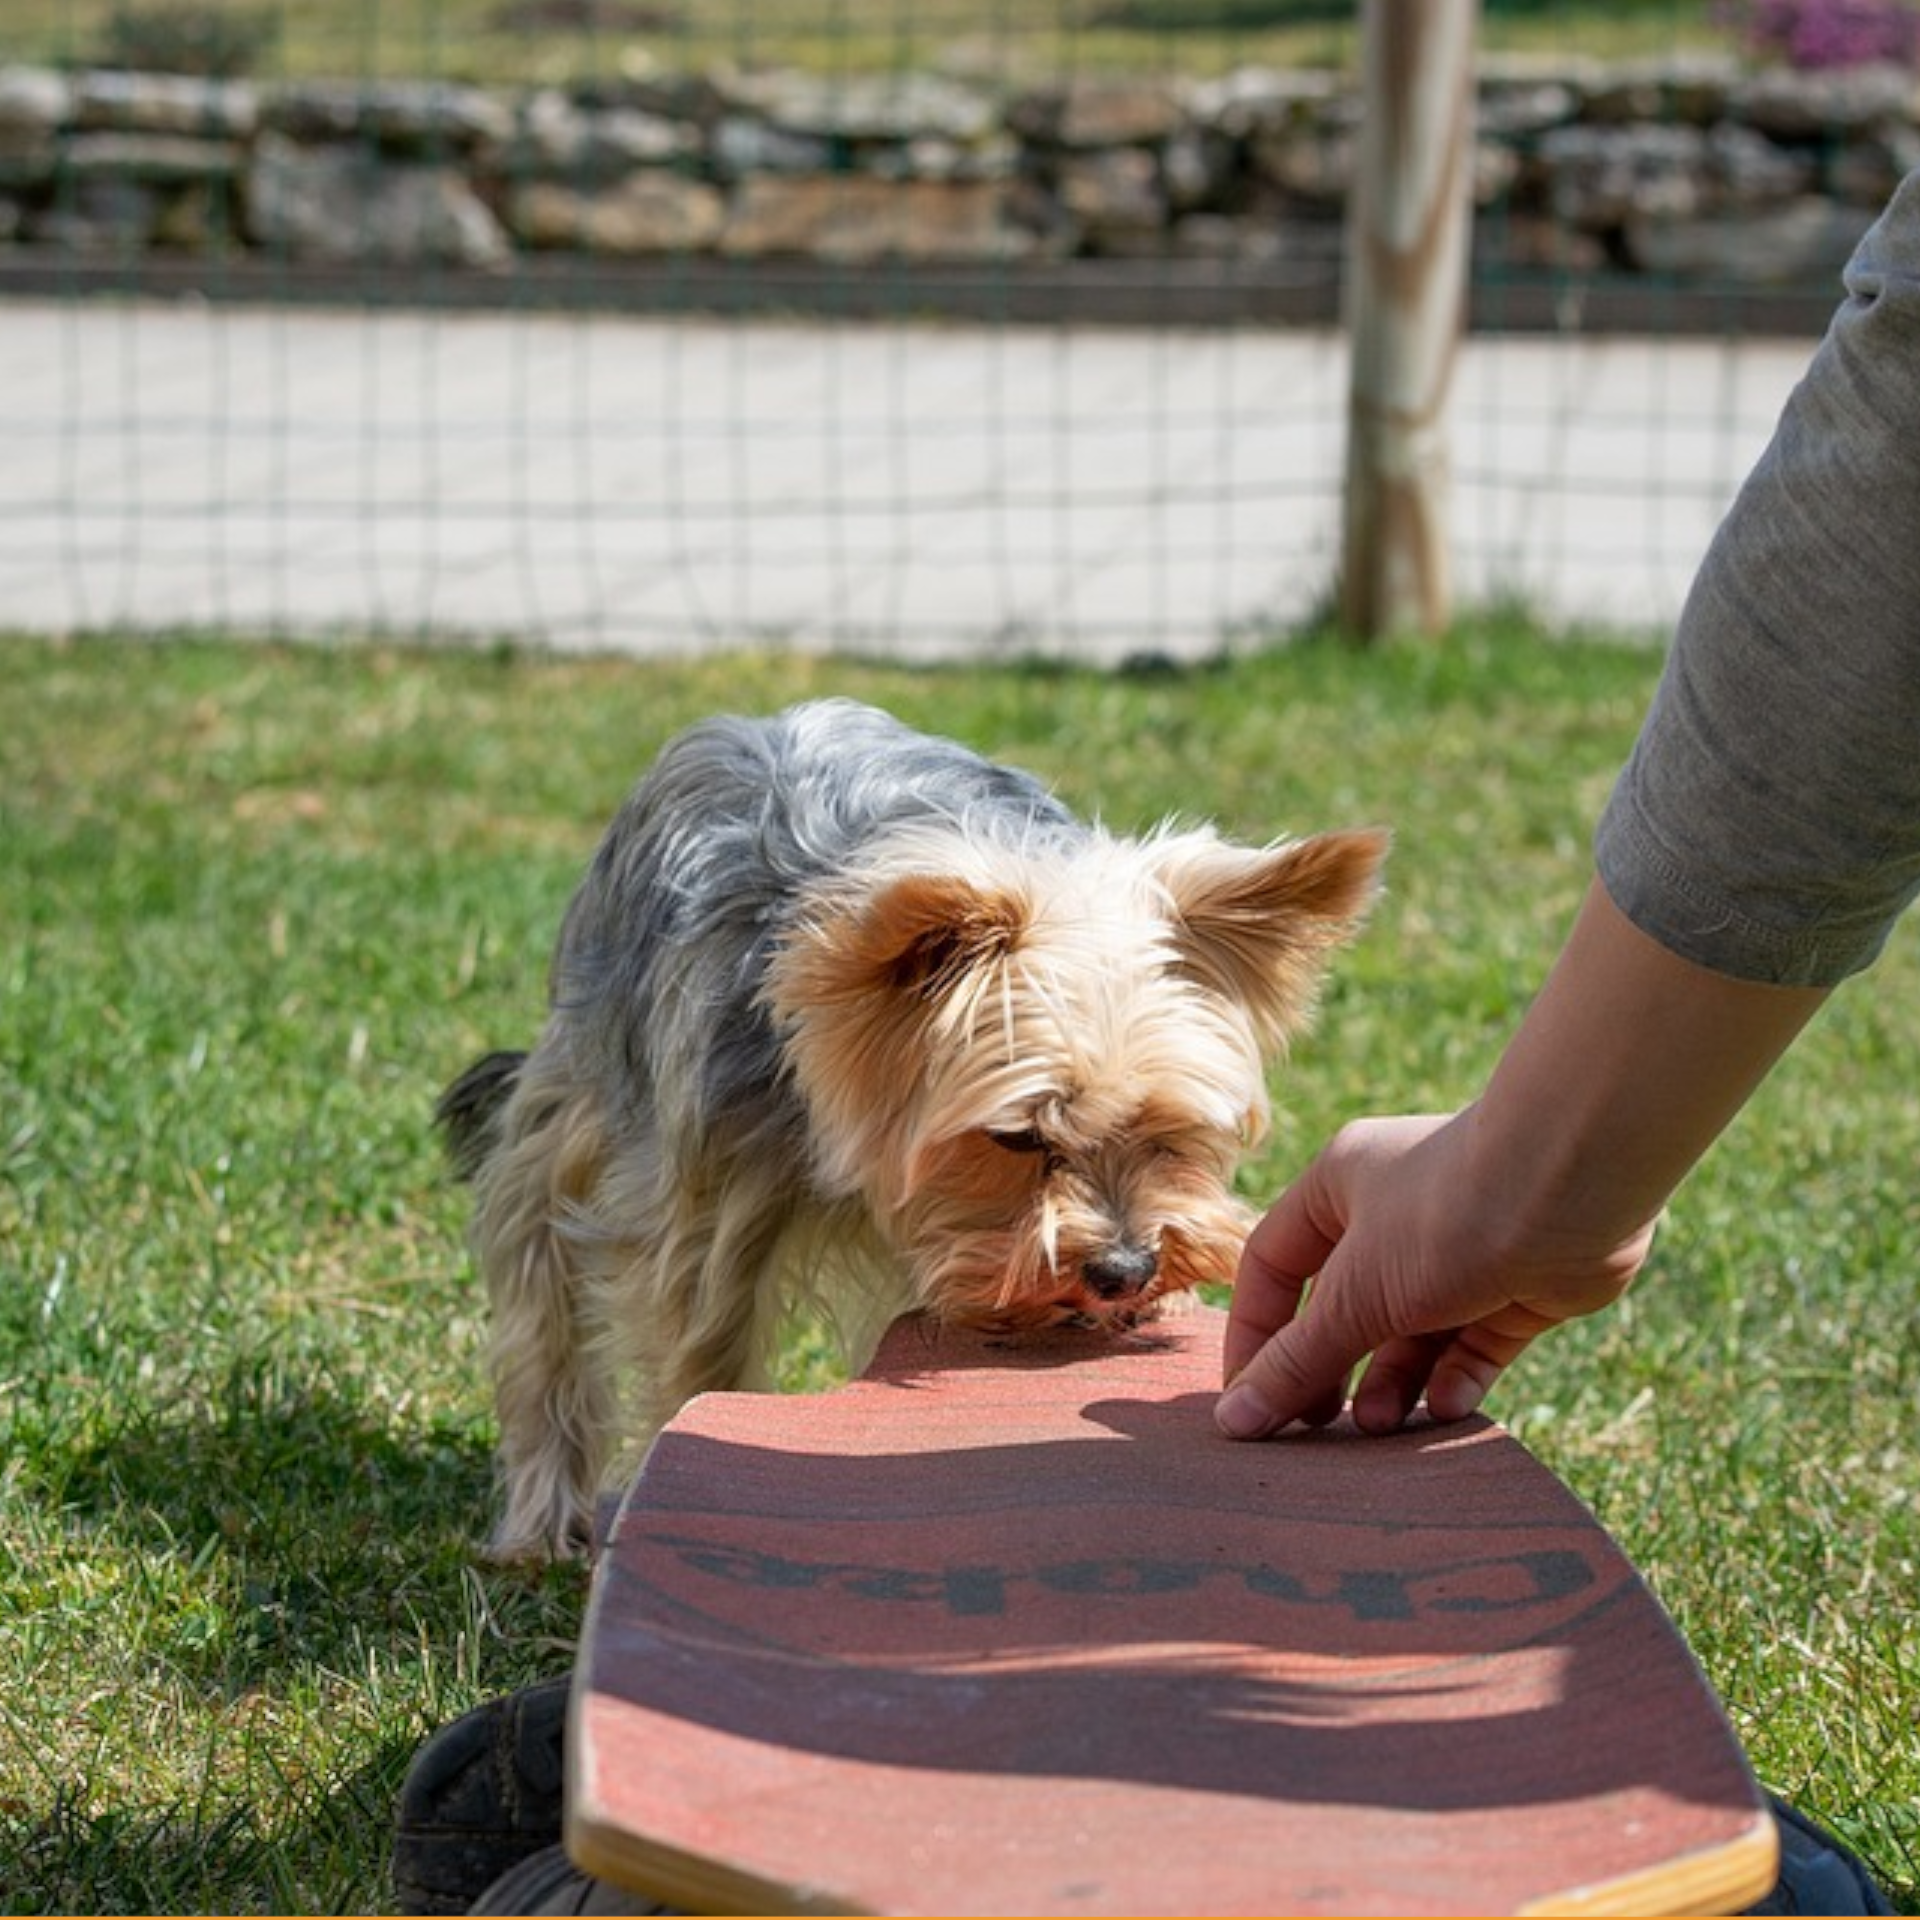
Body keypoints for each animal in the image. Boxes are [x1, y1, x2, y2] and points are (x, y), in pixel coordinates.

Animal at [441, 706, 1390, 1559]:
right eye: (1018, 1138)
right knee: (537, 1249)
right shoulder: (715, 1180)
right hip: (589, 1083)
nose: (1123, 1271)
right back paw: (543, 1520)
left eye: (1169, 1128)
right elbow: (705, 1351)